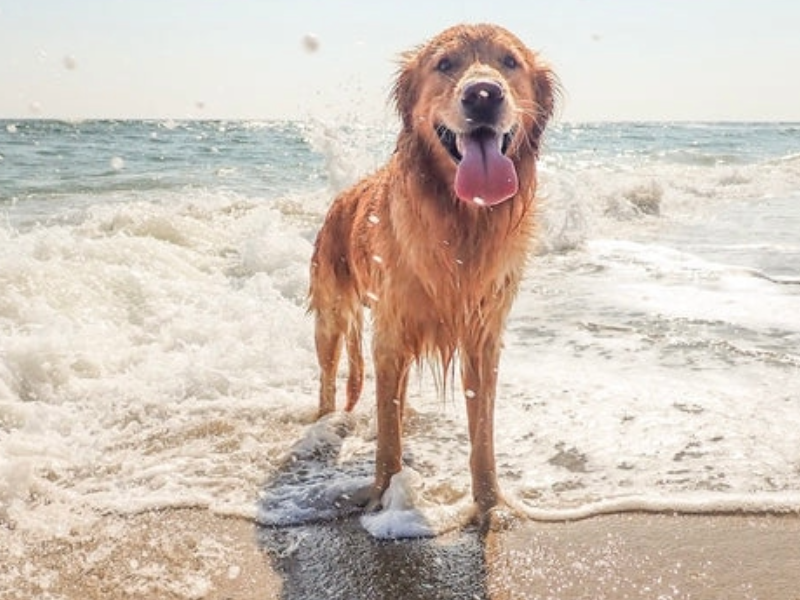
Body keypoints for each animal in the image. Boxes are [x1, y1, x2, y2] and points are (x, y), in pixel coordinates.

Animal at [310, 24, 556, 516]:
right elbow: (388, 438)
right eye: (445, 64)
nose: (483, 94)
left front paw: (489, 503)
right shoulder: (390, 333)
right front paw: (383, 495)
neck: (462, 219)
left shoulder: (483, 335)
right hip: (330, 315)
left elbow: (482, 431)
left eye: (510, 62)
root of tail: (341, 198)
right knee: (329, 379)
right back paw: (326, 427)